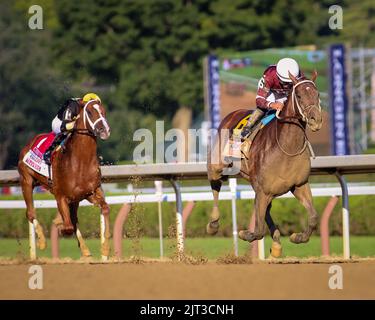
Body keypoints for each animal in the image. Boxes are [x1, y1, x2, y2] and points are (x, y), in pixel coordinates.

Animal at [18, 99, 111, 258]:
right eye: (89, 112)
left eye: (104, 111)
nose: (104, 129)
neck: (81, 161)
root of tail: (29, 143)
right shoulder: (60, 196)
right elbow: (67, 227)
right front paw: (58, 224)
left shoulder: (90, 193)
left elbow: (105, 208)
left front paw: (105, 248)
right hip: (26, 181)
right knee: (30, 213)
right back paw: (42, 242)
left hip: (75, 199)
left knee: (73, 219)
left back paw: (85, 249)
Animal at [209, 71, 324, 256]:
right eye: (299, 95)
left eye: (317, 94)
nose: (316, 120)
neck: (286, 148)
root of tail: (230, 115)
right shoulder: (263, 190)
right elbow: (258, 230)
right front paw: (244, 233)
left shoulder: (299, 185)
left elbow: (313, 217)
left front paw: (297, 237)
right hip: (216, 166)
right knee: (215, 185)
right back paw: (213, 223)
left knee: (265, 210)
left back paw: (277, 243)